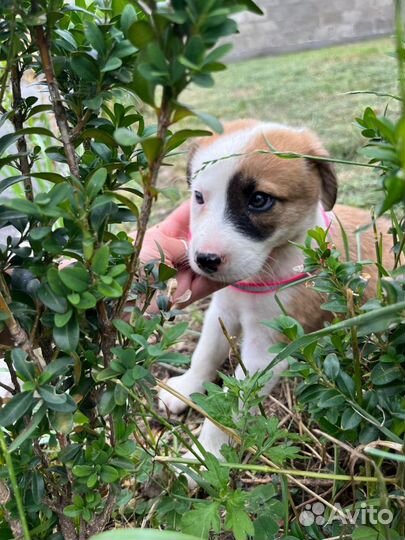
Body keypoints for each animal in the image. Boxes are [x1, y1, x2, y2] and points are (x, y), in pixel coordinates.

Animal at [157, 119, 388, 460]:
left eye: (259, 200)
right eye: (198, 197)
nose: (205, 260)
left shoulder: (264, 351)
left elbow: (231, 410)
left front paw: (205, 458)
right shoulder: (221, 312)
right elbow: (206, 353)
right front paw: (186, 387)